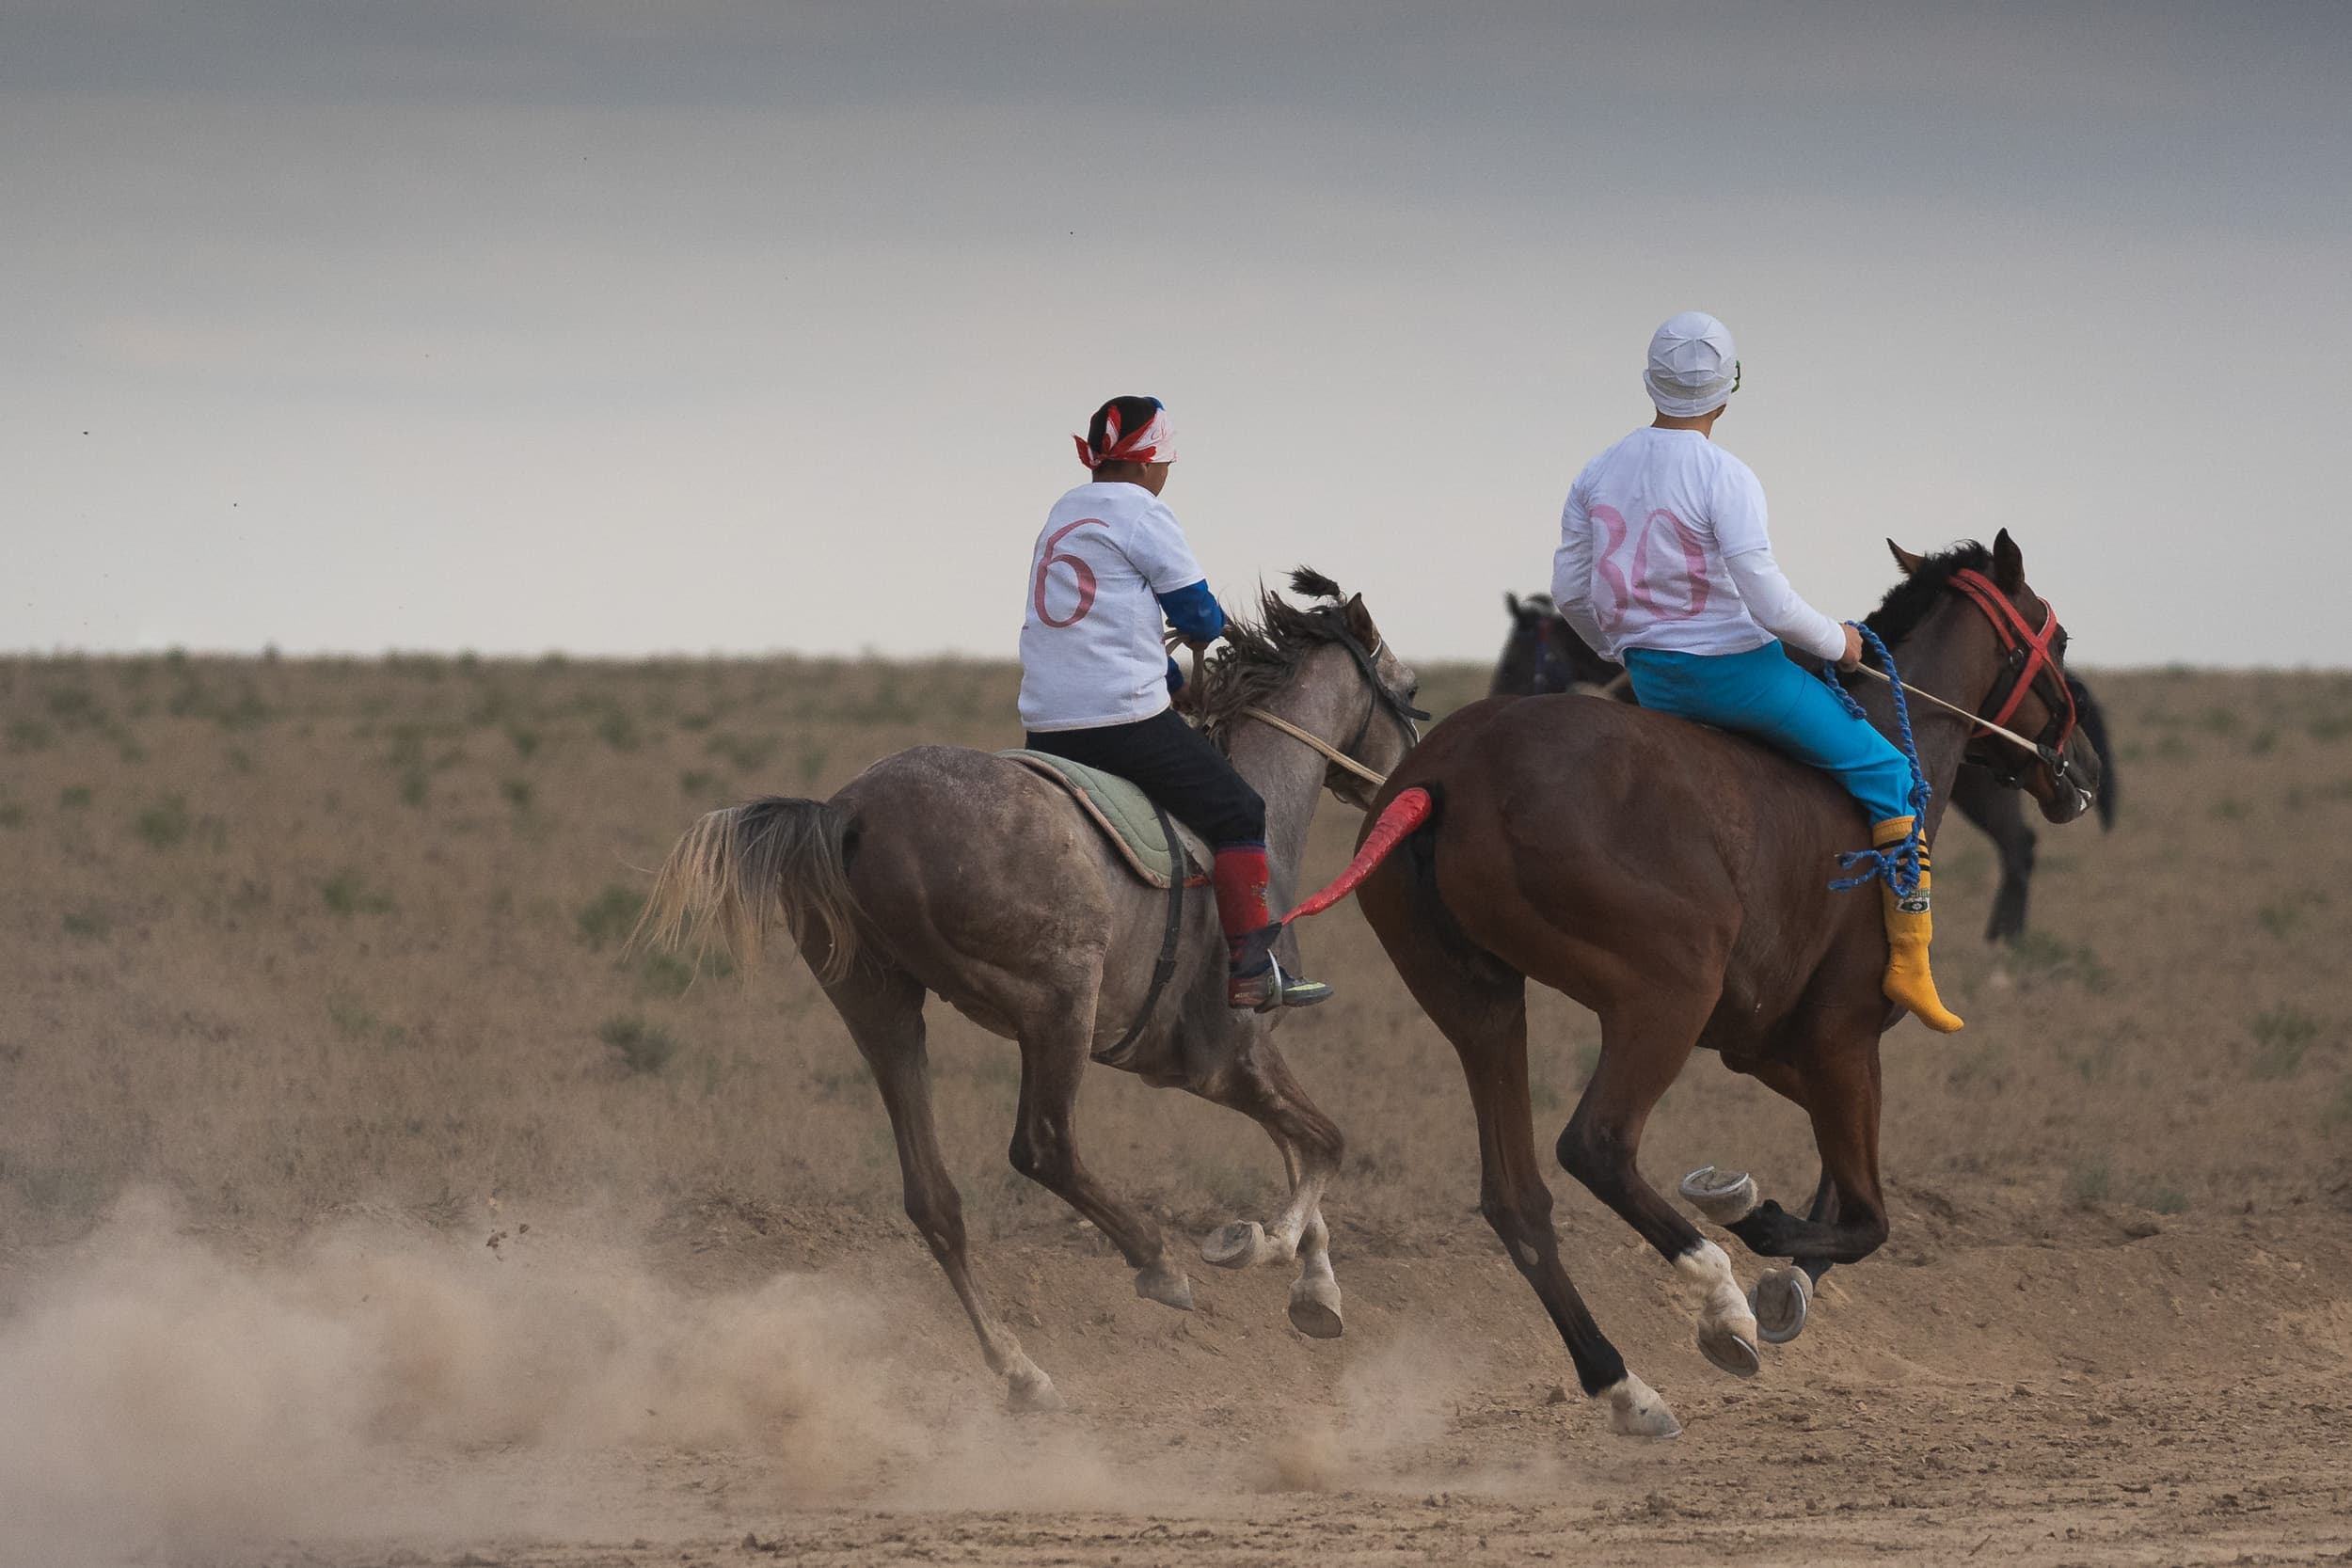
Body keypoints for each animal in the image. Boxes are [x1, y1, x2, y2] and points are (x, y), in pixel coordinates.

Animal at [635, 571, 1421, 1419]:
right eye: (1410, 688)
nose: (1406, 783)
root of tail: (847, 811)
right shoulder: (1225, 1059)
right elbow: (1324, 1141)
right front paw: (1259, 1245)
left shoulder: (1232, 1064)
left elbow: (1301, 1146)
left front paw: (1318, 1291)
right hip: (1058, 1002)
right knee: (1043, 1146)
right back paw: (1157, 1263)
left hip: (881, 1011)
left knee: (934, 1198)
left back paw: (1021, 1368)